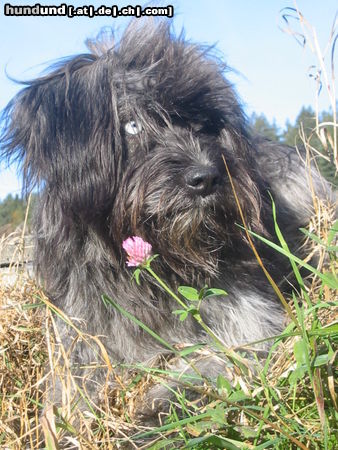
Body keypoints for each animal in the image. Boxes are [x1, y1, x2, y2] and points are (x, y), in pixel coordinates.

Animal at [0, 19, 328, 414]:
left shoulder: (250, 319)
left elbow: (214, 361)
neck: (161, 268)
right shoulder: (83, 338)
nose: (206, 178)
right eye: (132, 125)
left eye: (203, 125)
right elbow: (75, 394)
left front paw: (153, 413)